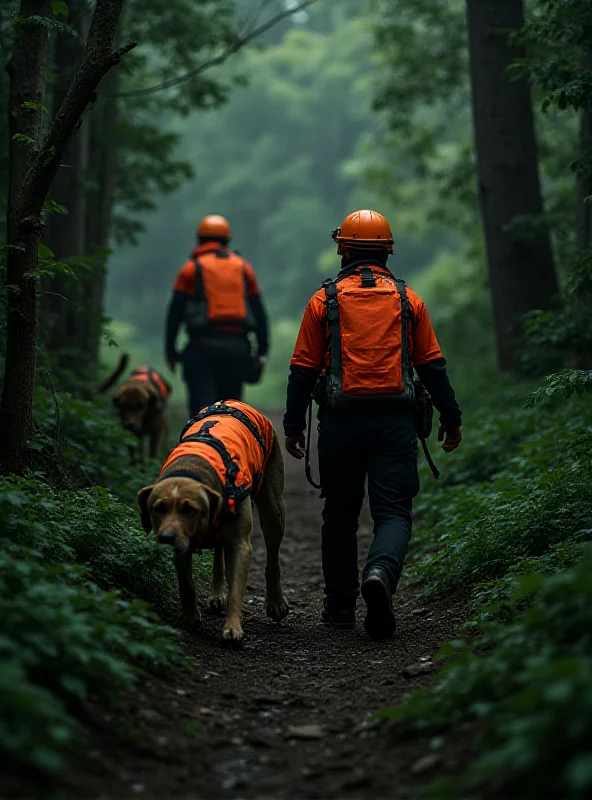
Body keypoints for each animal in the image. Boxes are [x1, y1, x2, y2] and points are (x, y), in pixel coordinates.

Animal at [137, 400, 290, 644]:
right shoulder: (181, 543)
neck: (194, 468)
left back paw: (276, 602)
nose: (167, 537)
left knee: (273, 558)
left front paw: (233, 628)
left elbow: (237, 587)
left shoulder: (239, 543)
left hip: (273, 509)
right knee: (219, 554)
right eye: (158, 508)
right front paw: (190, 616)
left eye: (189, 509)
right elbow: (186, 583)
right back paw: (217, 594)